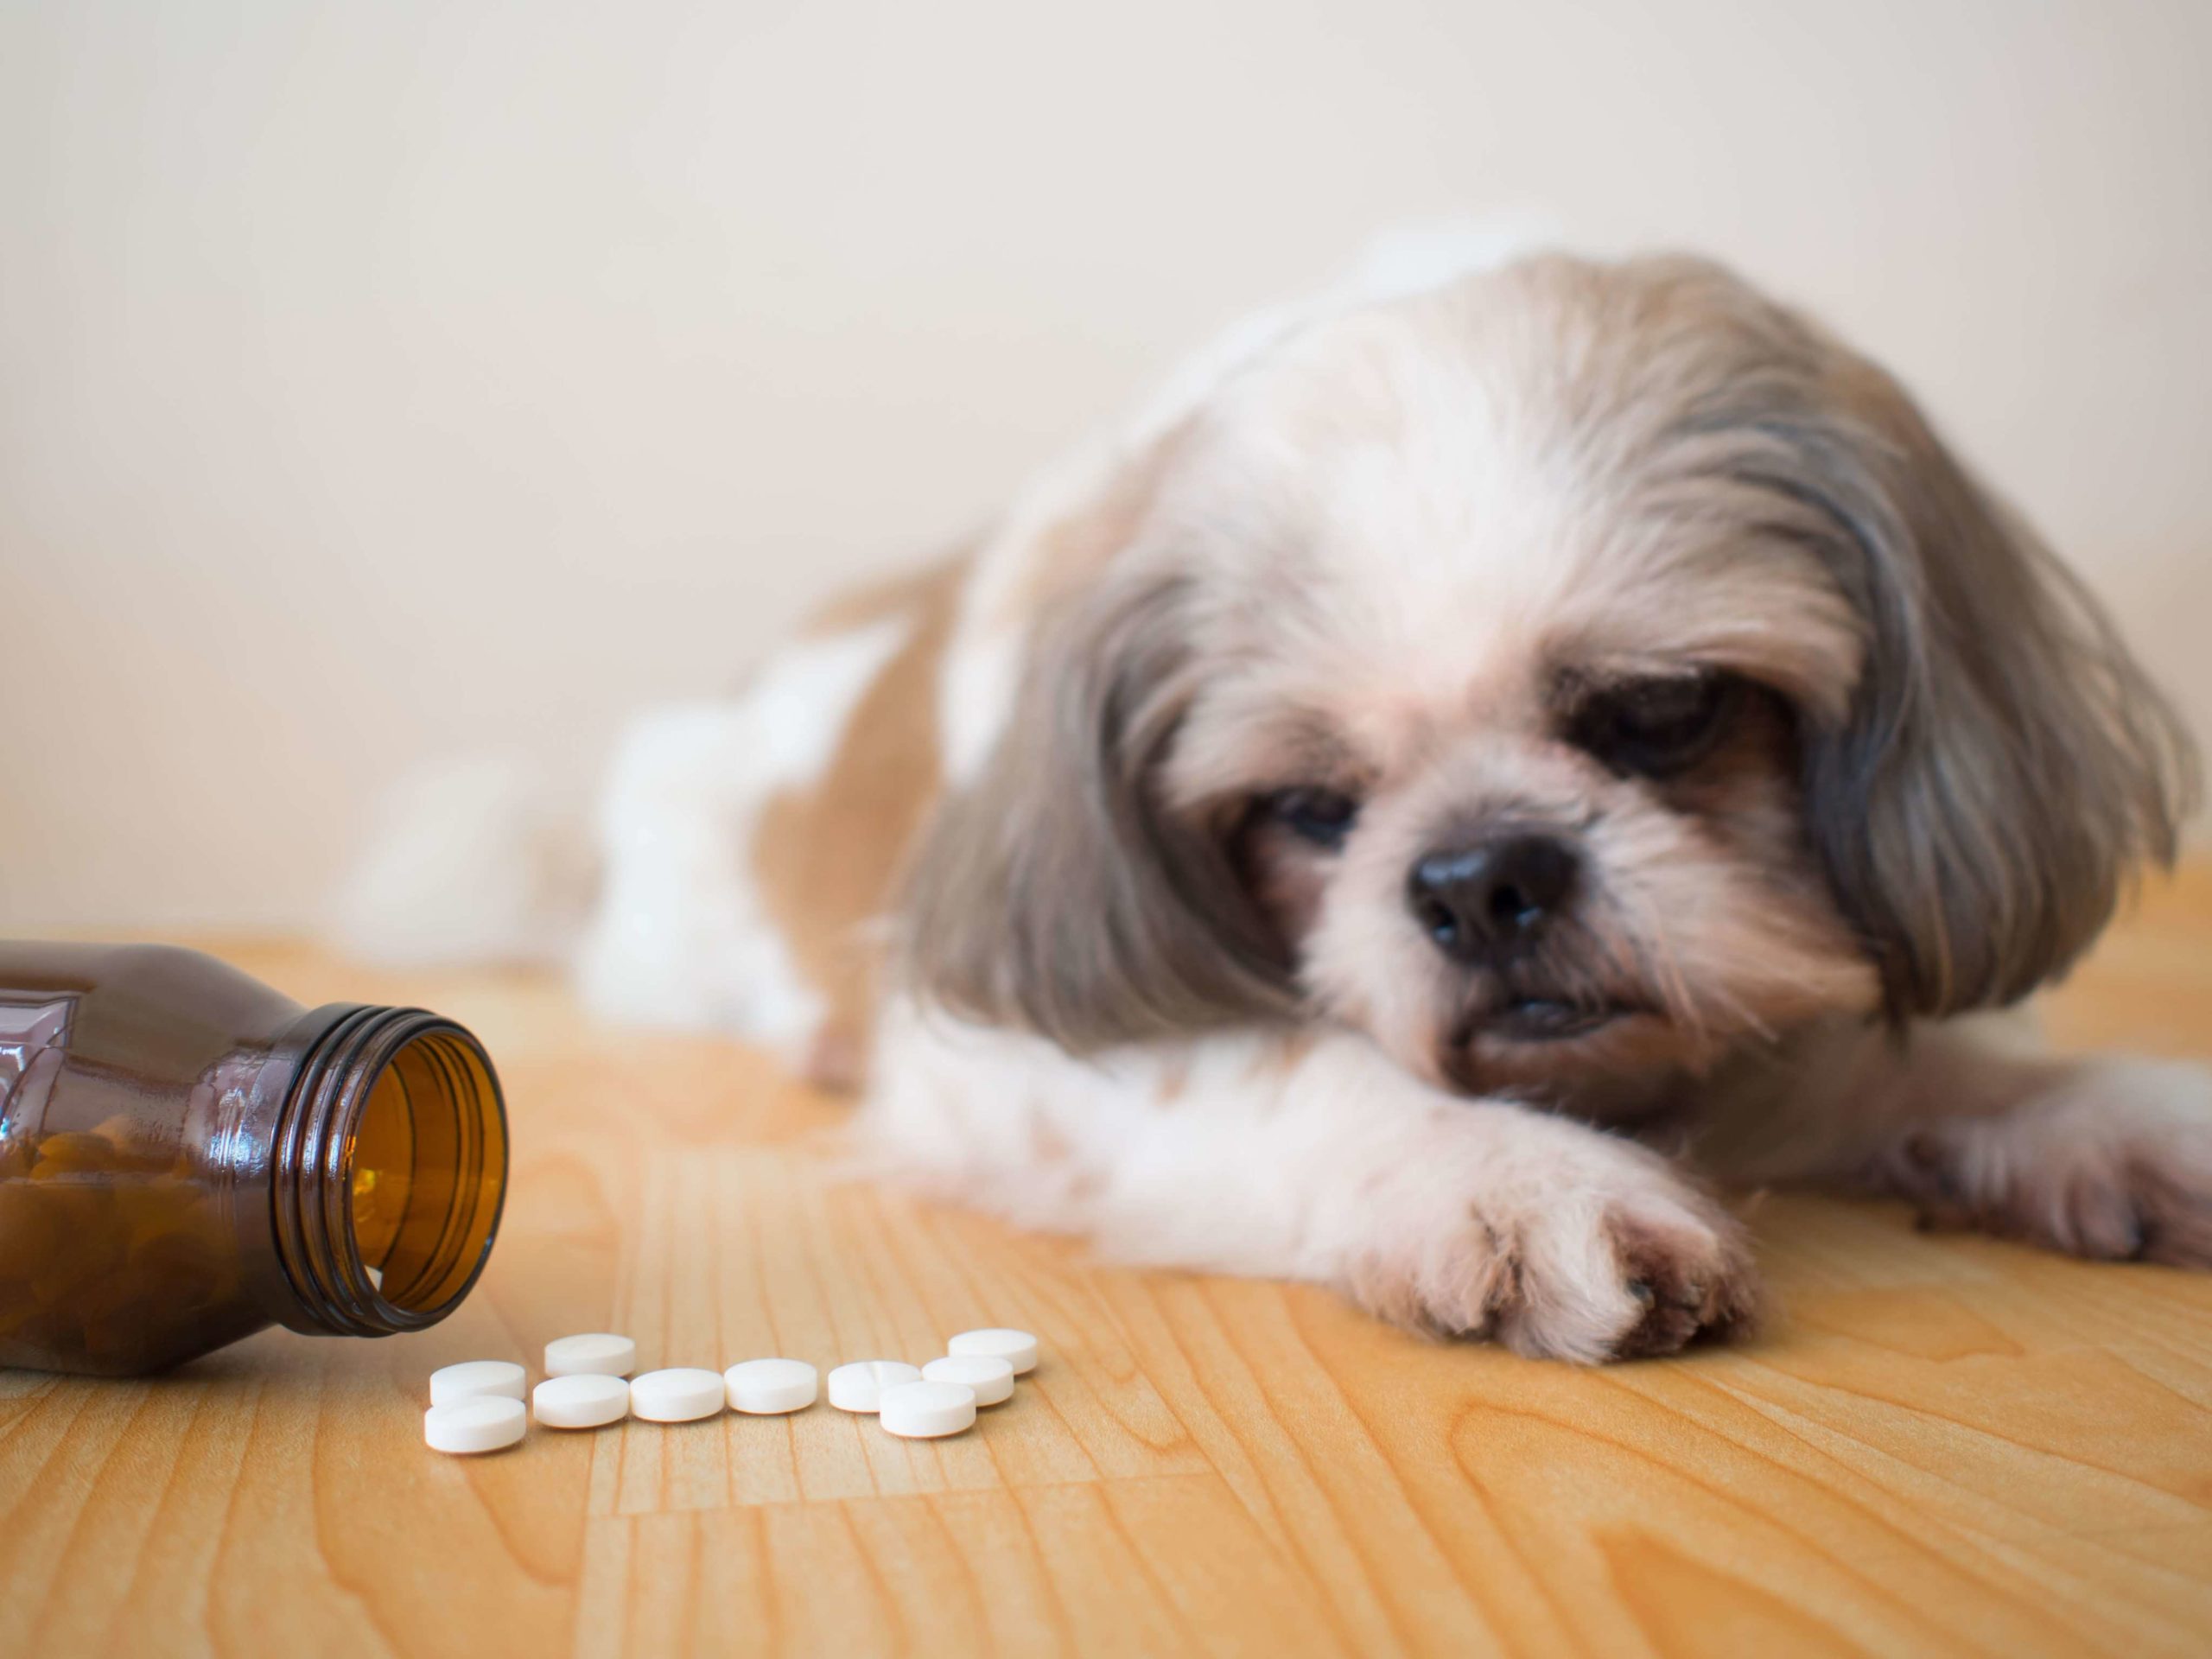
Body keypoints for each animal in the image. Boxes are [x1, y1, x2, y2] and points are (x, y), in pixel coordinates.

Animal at [566, 246, 2194, 1362]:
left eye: (1663, 711)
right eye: (1306, 803)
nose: (1481, 878)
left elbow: (1920, 1060)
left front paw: (2094, 1115)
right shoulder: (1023, 1058)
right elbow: (1297, 1066)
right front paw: (1509, 1173)